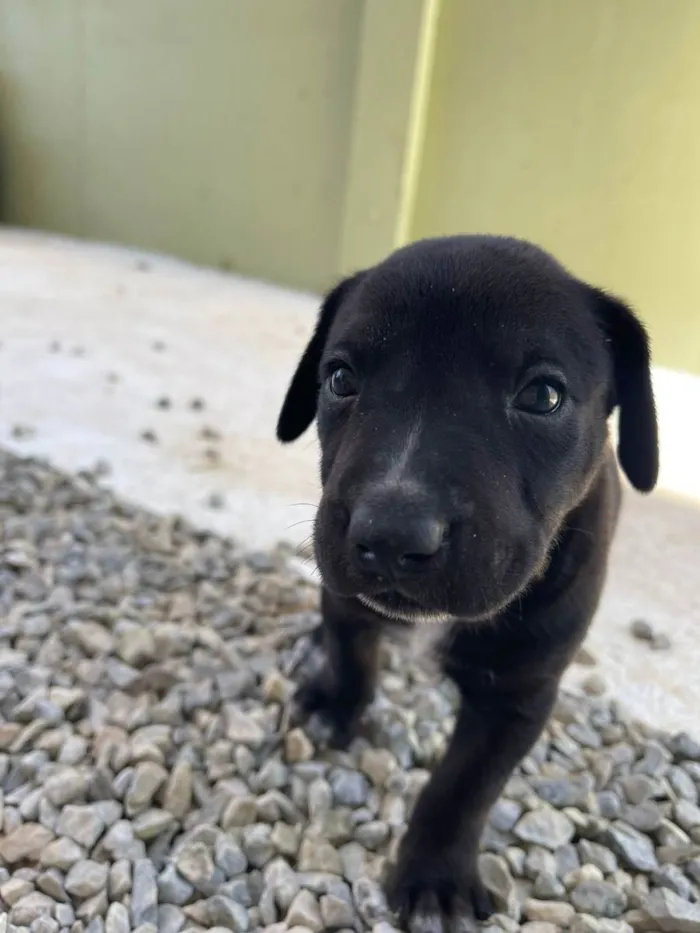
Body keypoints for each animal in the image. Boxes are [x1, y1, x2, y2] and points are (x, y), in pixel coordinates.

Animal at [274, 235, 656, 932]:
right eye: (340, 379)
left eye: (542, 396)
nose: (391, 535)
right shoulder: (344, 596)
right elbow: (350, 651)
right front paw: (336, 702)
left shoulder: (518, 696)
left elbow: (462, 788)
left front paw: (435, 878)